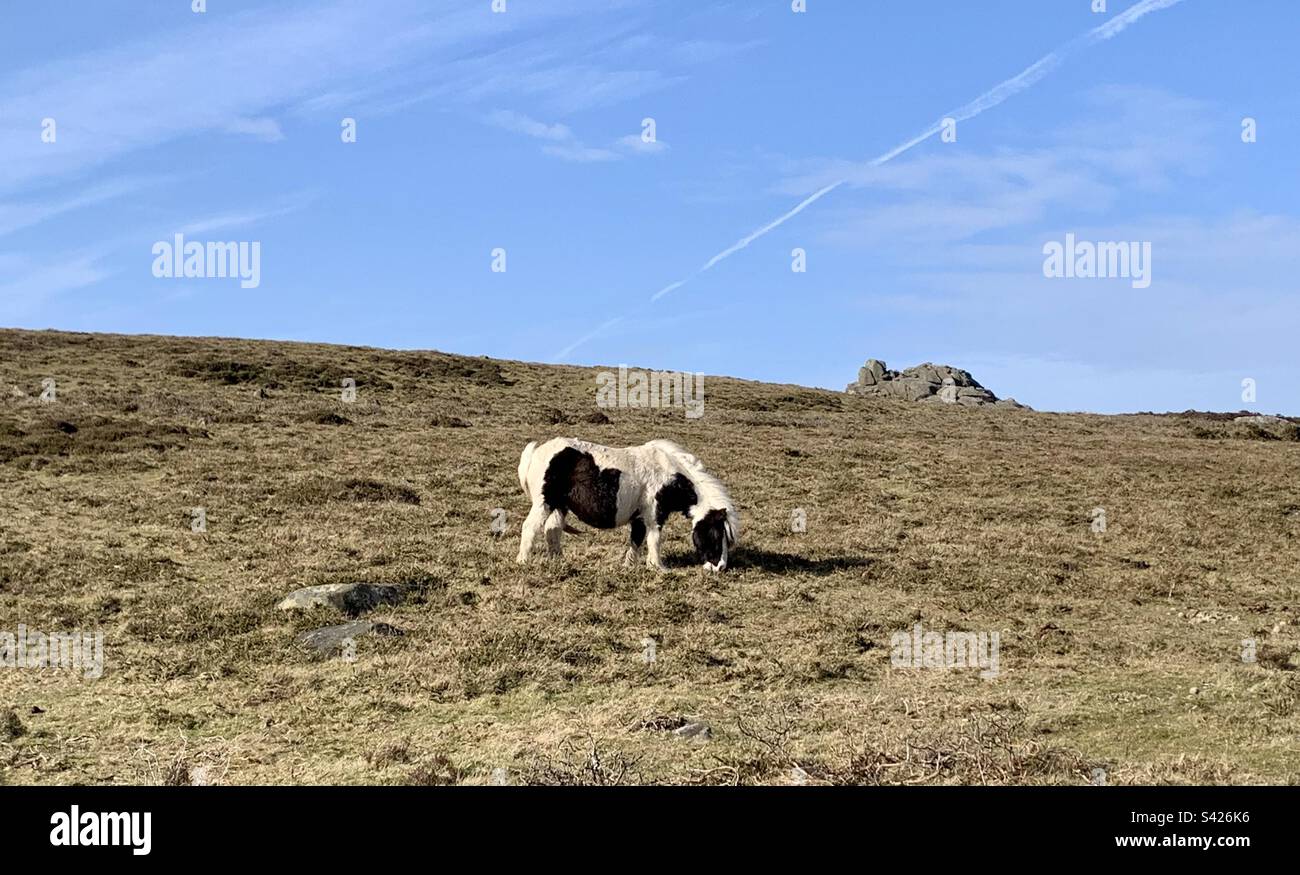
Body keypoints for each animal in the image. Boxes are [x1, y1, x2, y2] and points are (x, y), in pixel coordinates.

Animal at [516, 437, 739, 572]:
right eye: (716, 535)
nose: (720, 567)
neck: (670, 474)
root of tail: (536, 452)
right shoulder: (655, 513)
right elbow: (654, 539)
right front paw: (658, 567)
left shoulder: (639, 517)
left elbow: (637, 540)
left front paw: (629, 566)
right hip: (544, 503)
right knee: (530, 527)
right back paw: (523, 561)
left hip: (559, 505)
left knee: (552, 531)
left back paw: (559, 562)